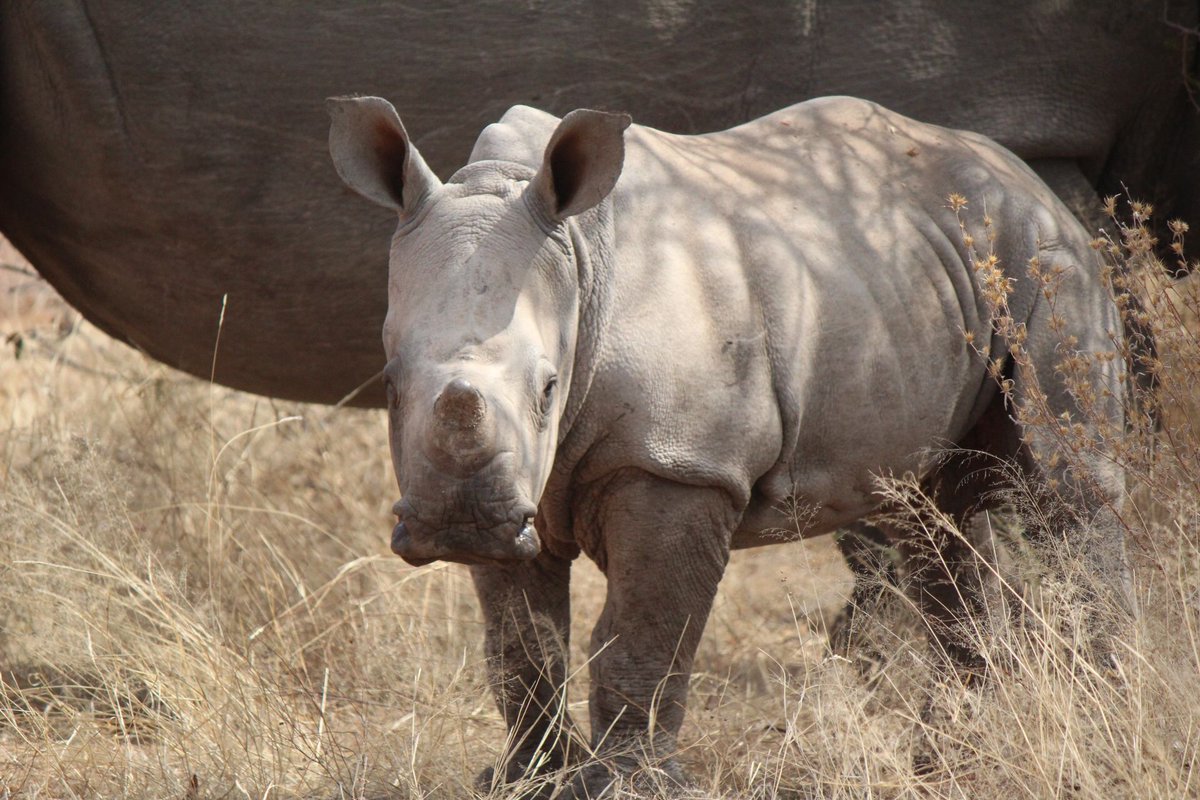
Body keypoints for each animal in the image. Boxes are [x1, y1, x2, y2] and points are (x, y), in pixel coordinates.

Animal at [327, 95, 1132, 795]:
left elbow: (644, 638)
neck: (578, 258)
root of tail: (1030, 179)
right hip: (924, 279)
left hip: (1047, 263)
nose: (456, 524)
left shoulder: (680, 464)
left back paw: (1100, 735)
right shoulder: (517, 494)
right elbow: (524, 649)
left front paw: (631, 787)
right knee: (929, 518)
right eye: (390, 384)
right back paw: (947, 765)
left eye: (550, 388)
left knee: (1069, 492)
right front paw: (528, 782)